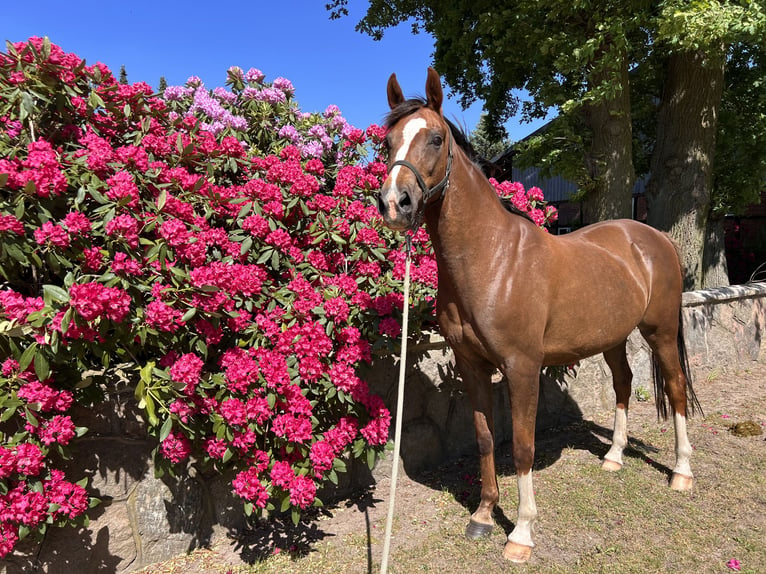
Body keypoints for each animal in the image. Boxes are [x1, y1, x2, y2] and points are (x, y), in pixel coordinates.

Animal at [378, 68, 704, 568]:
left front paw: (521, 533)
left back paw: (682, 472)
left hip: (662, 332)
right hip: (612, 337)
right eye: (387, 140)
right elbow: (485, 437)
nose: (397, 202)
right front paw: (483, 515)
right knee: (624, 383)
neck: (491, 259)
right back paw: (614, 457)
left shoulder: (522, 368)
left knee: (675, 387)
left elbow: (523, 447)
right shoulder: (472, 367)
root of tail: (655, 238)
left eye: (435, 138)